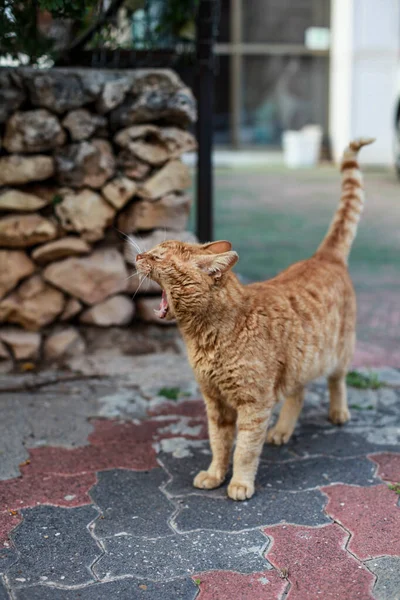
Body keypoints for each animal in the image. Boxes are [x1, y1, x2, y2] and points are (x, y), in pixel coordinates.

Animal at [136, 138, 374, 500]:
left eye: (159, 256)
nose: (138, 255)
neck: (206, 336)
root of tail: (324, 257)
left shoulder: (253, 404)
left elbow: (245, 449)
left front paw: (240, 483)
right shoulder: (215, 402)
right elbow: (219, 443)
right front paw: (214, 474)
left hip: (339, 352)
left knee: (337, 381)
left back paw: (338, 412)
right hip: (297, 363)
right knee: (298, 393)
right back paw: (282, 430)